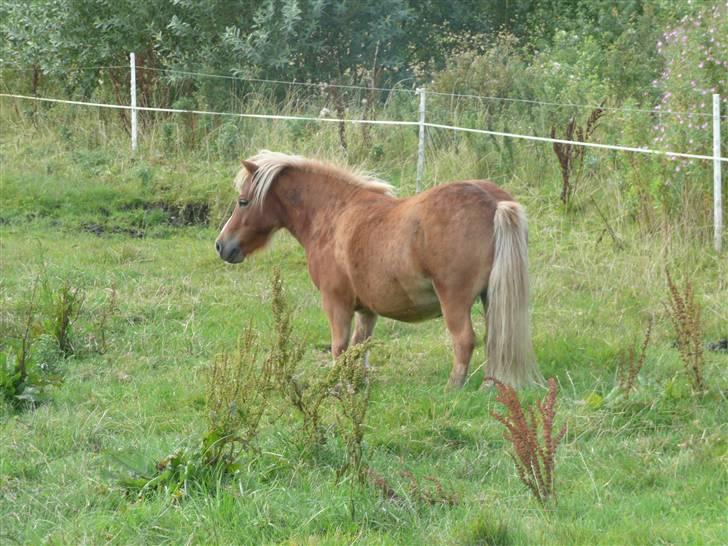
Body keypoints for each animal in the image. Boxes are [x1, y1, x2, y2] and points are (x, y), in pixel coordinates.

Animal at [215, 149, 540, 386]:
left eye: (243, 201)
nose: (222, 246)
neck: (334, 214)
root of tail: (494, 203)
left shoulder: (336, 303)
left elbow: (340, 347)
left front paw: (339, 388)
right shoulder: (366, 310)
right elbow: (360, 347)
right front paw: (357, 383)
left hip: (455, 300)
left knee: (464, 341)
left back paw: (454, 388)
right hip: (492, 297)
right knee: (496, 340)